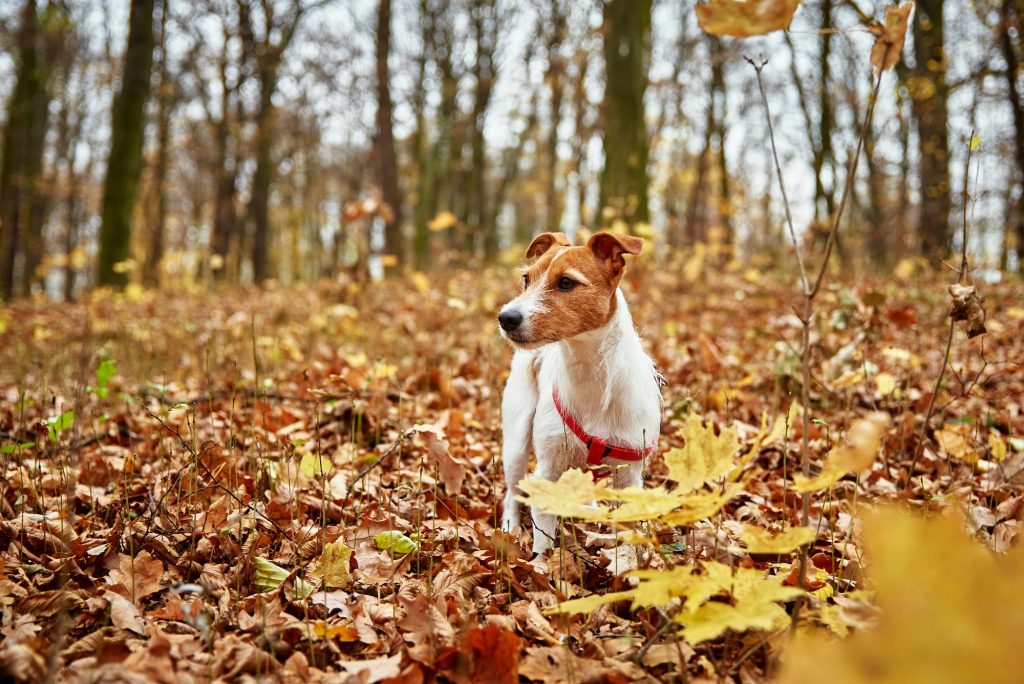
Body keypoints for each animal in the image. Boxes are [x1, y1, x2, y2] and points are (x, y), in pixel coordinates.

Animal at [497, 232, 659, 552]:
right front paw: (543, 563)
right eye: (526, 279)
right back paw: (510, 526)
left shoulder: (629, 474)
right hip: (516, 441)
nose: (505, 317)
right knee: (511, 492)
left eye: (566, 282)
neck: (589, 373)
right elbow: (543, 545)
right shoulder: (547, 471)